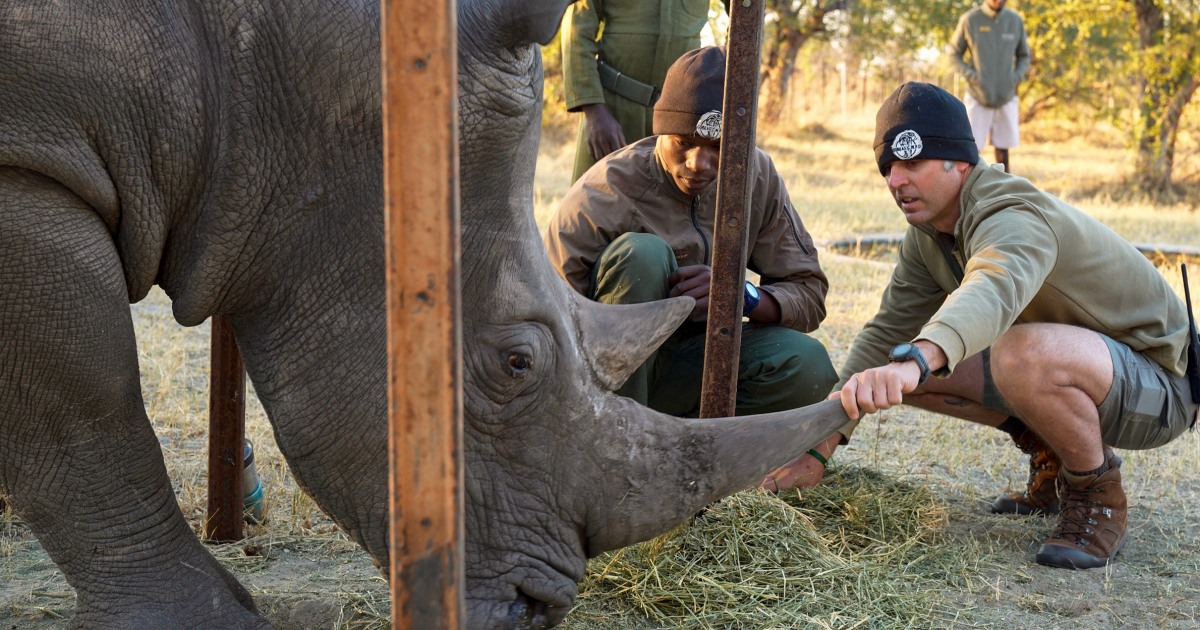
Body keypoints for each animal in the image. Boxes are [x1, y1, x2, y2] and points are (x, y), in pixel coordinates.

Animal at [0, 0, 846, 627]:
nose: (537, 611)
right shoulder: (26, 165)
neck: (264, 61)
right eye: (515, 364)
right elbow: (88, 411)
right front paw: (210, 623)